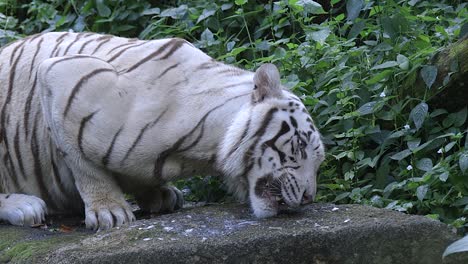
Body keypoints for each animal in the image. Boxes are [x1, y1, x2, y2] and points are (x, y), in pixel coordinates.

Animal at [0, 32, 324, 231]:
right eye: (299, 146)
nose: (309, 198)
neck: (204, 150)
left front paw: (160, 195)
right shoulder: (60, 76)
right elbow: (83, 164)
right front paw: (110, 211)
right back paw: (25, 206)